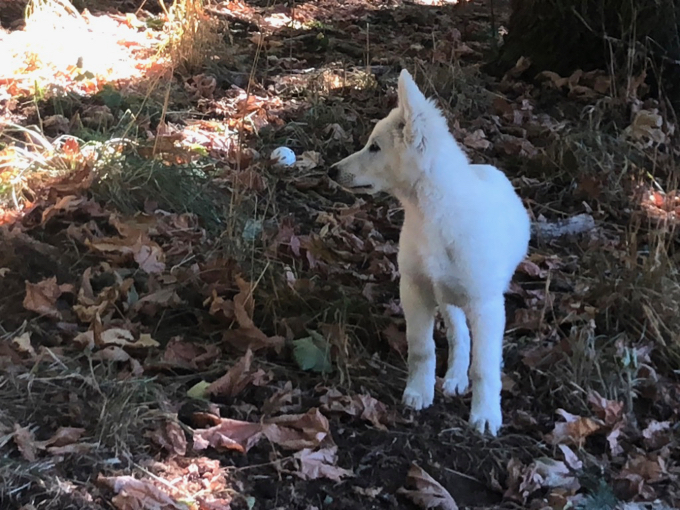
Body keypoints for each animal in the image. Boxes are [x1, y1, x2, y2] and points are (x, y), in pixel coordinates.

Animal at [330, 68, 532, 434]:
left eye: (374, 147)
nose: (331, 171)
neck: (431, 214)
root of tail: (488, 169)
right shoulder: (415, 288)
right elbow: (422, 348)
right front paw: (419, 392)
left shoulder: (486, 305)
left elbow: (484, 367)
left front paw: (485, 414)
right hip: (445, 293)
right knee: (458, 334)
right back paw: (453, 378)